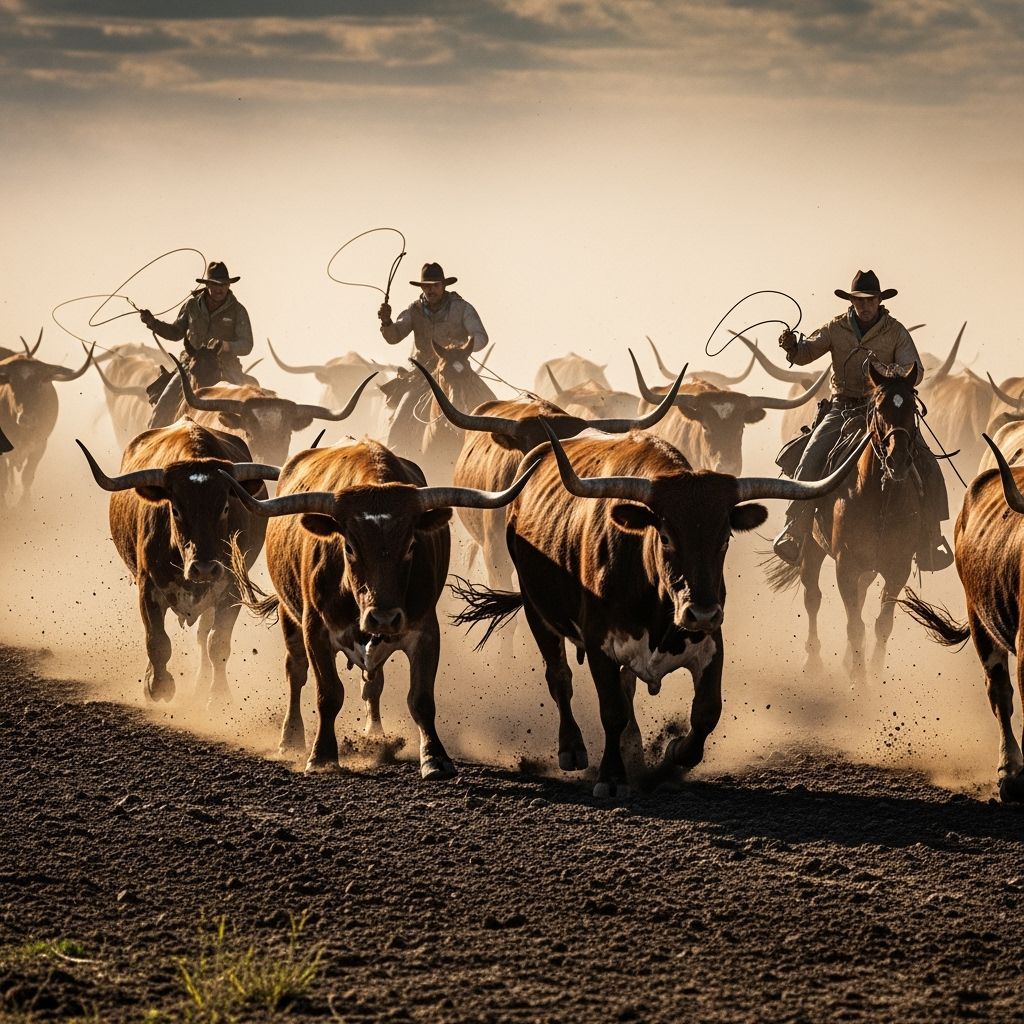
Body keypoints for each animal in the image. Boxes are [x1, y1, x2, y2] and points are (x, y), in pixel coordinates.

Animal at [0, 339, 95, 507]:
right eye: (12, 383)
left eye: (38, 384)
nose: (26, 418)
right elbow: (4, 479)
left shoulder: (40, 446)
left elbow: (27, 476)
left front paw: (25, 504)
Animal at [77, 419, 278, 703]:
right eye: (176, 509)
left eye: (225, 507)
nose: (204, 568)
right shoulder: (147, 586)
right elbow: (157, 641)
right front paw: (158, 685)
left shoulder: (231, 591)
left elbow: (218, 643)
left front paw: (218, 695)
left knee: (203, 636)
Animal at [222, 438, 540, 778]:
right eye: (349, 547)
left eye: (411, 545)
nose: (383, 617)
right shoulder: (315, 629)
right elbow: (328, 694)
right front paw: (322, 756)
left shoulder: (425, 630)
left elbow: (421, 699)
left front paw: (434, 757)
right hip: (289, 615)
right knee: (296, 672)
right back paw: (291, 739)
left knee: (373, 684)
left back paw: (374, 735)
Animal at [452, 423, 867, 796]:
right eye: (665, 536)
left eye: (724, 538)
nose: (700, 613)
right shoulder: (600, 645)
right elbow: (611, 711)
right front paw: (612, 777)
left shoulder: (711, 642)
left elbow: (706, 710)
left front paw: (676, 752)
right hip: (537, 611)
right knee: (559, 677)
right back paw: (572, 748)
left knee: (625, 687)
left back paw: (634, 748)